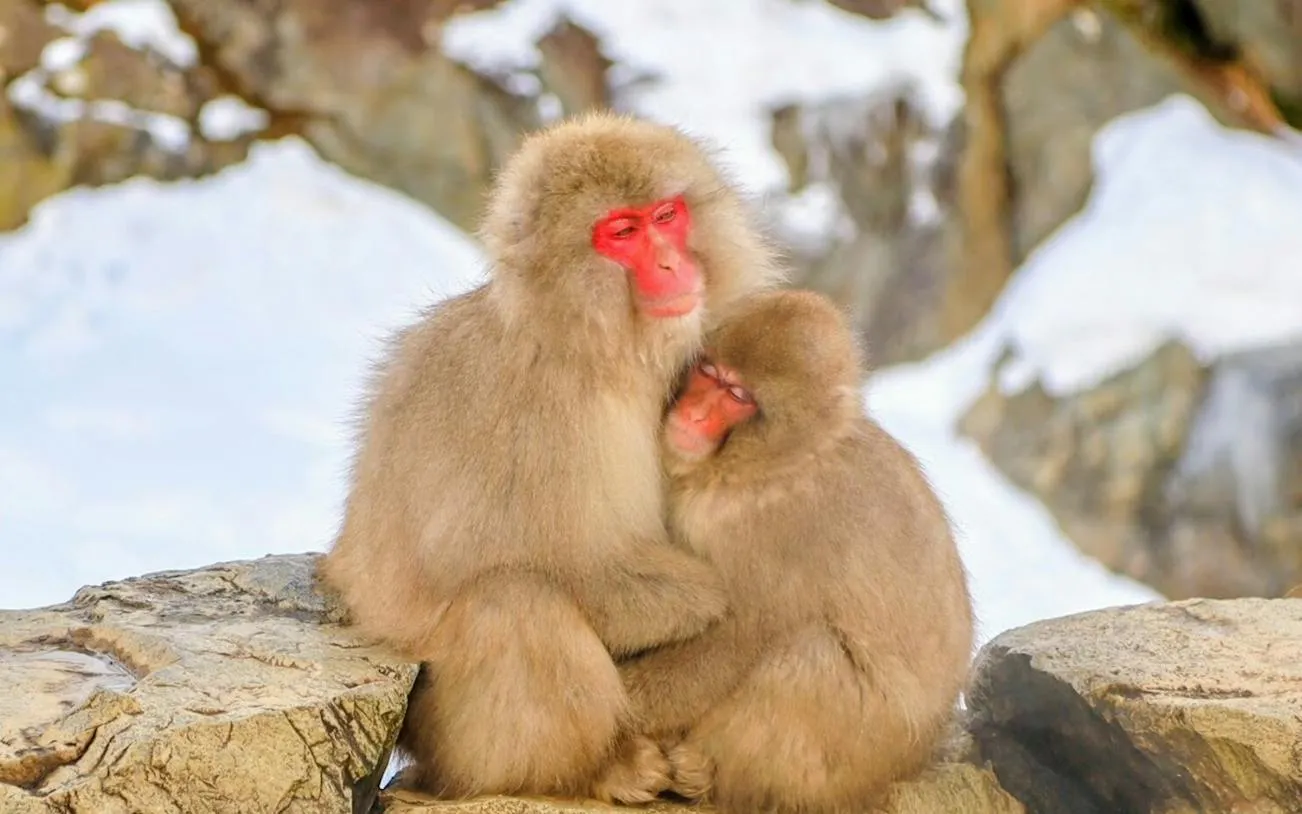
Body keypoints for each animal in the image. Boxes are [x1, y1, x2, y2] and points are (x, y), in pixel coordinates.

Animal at [316, 111, 784, 803]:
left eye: (665, 216)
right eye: (622, 232)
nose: (671, 261)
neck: (593, 347)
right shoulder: (532, 407)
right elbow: (513, 555)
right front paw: (707, 600)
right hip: (447, 736)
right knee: (515, 603)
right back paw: (596, 769)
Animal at [617, 288, 975, 814]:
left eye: (738, 396)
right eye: (710, 372)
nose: (693, 415)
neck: (777, 463)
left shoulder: (774, 531)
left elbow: (738, 639)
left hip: (856, 758)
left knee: (808, 655)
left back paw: (706, 778)